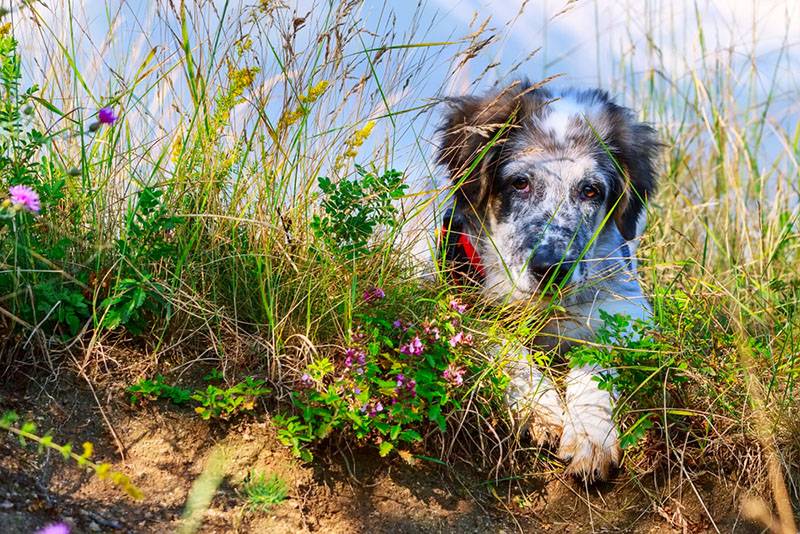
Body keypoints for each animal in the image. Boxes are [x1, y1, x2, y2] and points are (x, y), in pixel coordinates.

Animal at [434, 81, 660, 484]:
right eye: (520, 183)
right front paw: (541, 410)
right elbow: (505, 345)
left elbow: (595, 359)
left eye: (591, 191)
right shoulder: (462, 301)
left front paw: (591, 436)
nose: (552, 268)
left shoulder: (625, 312)